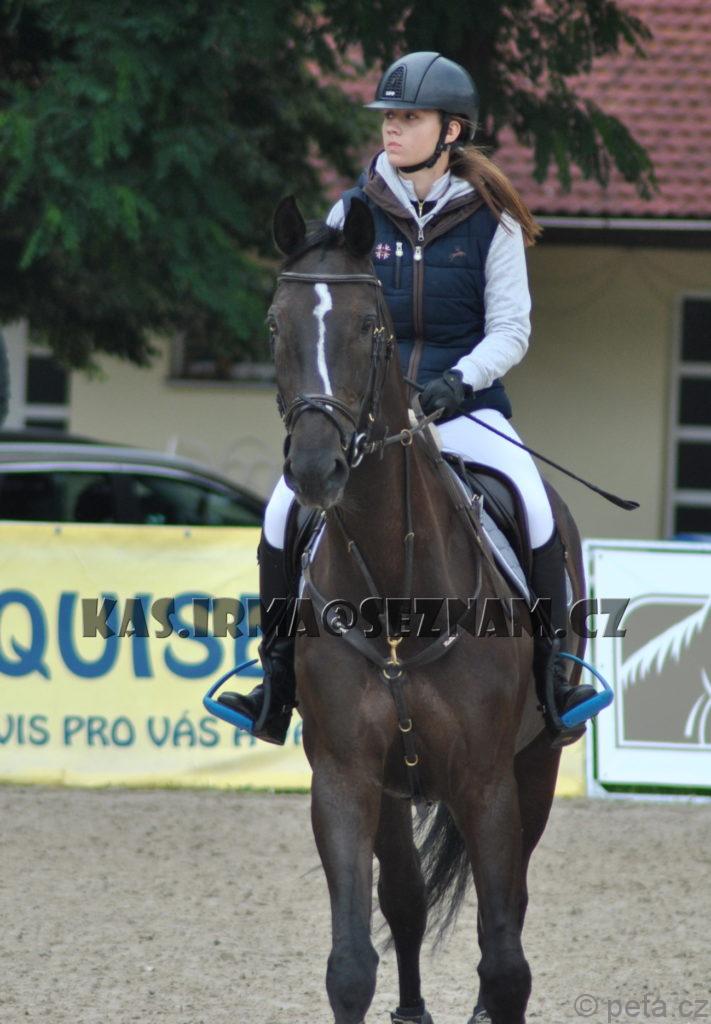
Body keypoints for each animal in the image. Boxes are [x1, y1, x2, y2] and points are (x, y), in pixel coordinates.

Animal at [267, 194, 586, 1024]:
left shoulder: (487, 782)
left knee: (507, 906)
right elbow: (352, 962)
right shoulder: (344, 776)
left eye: (368, 326)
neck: (396, 598)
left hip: (535, 766)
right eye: (275, 324)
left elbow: (505, 963)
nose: (315, 468)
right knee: (407, 901)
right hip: (392, 790)